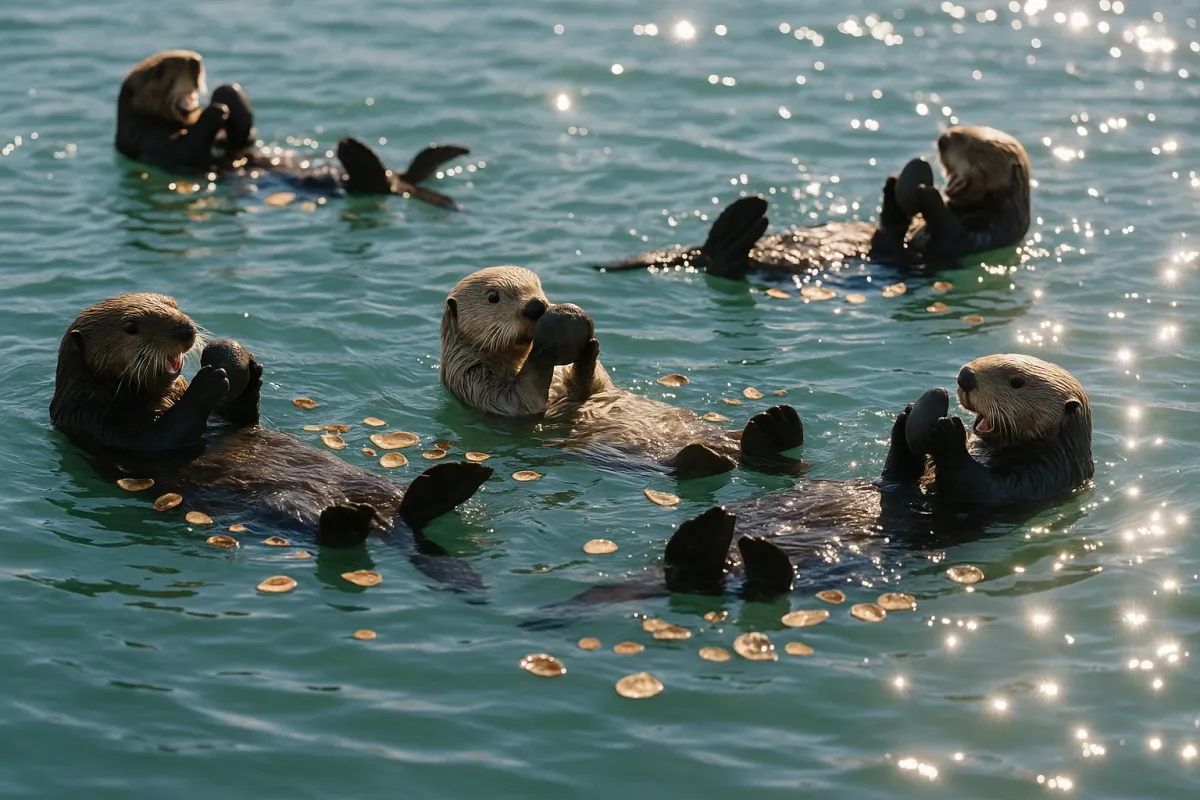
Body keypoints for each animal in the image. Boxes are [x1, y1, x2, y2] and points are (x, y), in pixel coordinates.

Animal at [50, 293, 493, 590]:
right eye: (131, 327)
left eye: (172, 303)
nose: (185, 329)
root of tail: (392, 526)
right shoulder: (101, 424)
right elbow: (162, 436)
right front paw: (211, 377)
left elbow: (239, 418)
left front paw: (245, 366)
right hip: (285, 508)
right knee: (334, 530)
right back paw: (352, 517)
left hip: (373, 482)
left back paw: (457, 480)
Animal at [115, 50, 469, 209]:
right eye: (160, 70)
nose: (195, 61)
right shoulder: (152, 142)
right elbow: (187, 147)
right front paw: (218, 108)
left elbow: (243, 137)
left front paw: (227, 94)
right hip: (355, 184)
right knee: (376, 183)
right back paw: (352, 148)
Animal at [440, 266, 805, 479]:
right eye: (493, 297)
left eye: (538, 287)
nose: (536, 306)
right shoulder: (471, 378)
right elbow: (518, 402)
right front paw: (547, 347)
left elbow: (594, 385)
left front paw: (589, 347)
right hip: (619, 455)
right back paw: (707, 456)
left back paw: (778, 425)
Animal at [525, 354, 1093, 623]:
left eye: (1015, 381)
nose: (966, 375)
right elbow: (899, 473)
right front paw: (909, 418)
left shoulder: (1029, 484)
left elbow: (974, 485)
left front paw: (947, 429)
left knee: (748, 582)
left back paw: (741, 546)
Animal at [594, 126, 1032, 280]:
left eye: (973, 144)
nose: (942, 139)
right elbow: (892, 225)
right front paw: (895, 186)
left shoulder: (972, 238)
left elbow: (942, 229)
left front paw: (924, 190)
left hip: (740, 263)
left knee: (726, 262)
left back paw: (746, 219)